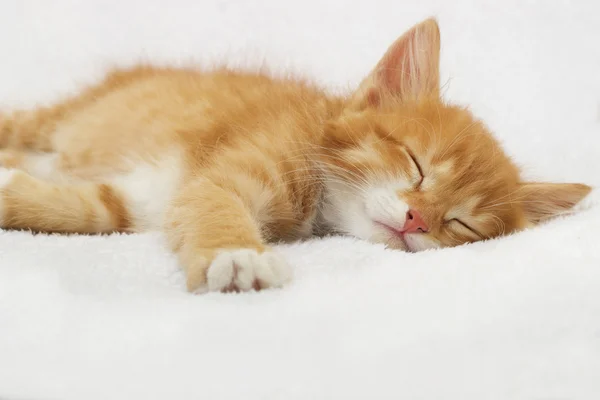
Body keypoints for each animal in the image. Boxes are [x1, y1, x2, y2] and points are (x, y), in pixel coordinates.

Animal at [0, 18, 592, 294]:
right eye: (415, 163)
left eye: (462, 224)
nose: (416, 220)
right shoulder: (219, 178)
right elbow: (217, 205)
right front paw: (237, 256)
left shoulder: (145, 200)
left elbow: (90, 210)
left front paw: (13, 189)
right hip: (50, 119)